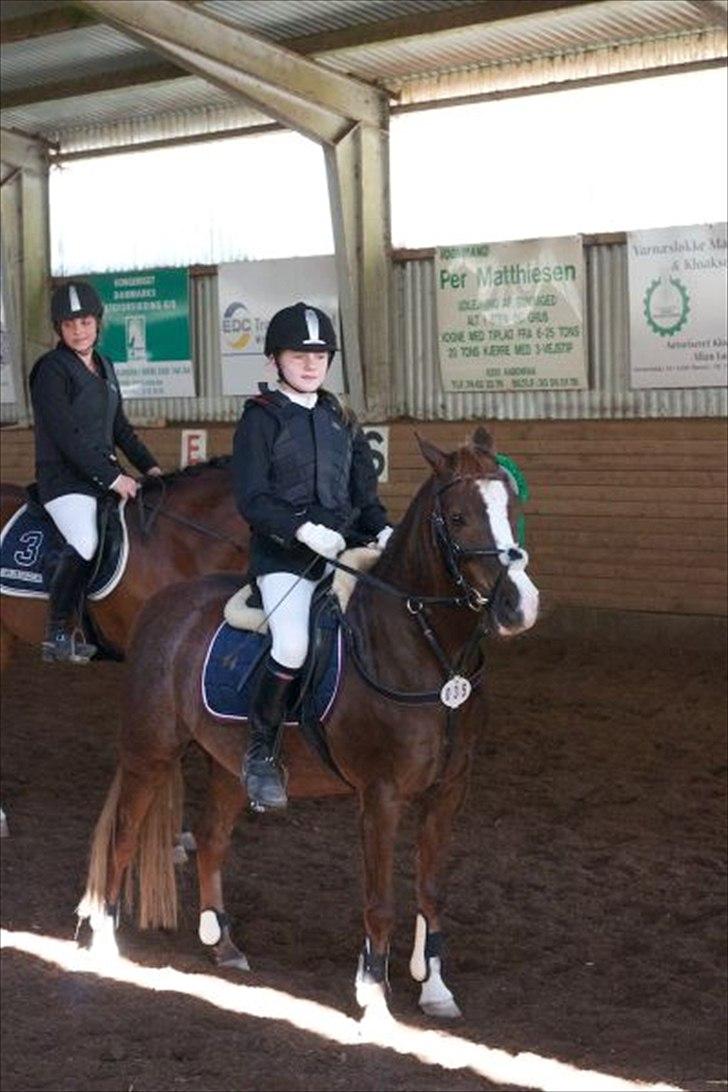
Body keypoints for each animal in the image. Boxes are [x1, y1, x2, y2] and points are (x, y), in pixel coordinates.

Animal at [78, 428, 541, 1022]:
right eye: (458, 518)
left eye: (512, 508)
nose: (519, 605)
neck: (427, 655)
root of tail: (166, 604)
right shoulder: (381, 794)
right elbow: (380, 901)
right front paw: (375, 996)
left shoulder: (449, 789)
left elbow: (432, 890)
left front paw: (435, 989)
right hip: (151, 750)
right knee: (123, 835)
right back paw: (107, 947)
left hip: (229, 763)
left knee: (211, 839)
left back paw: (223, 944)